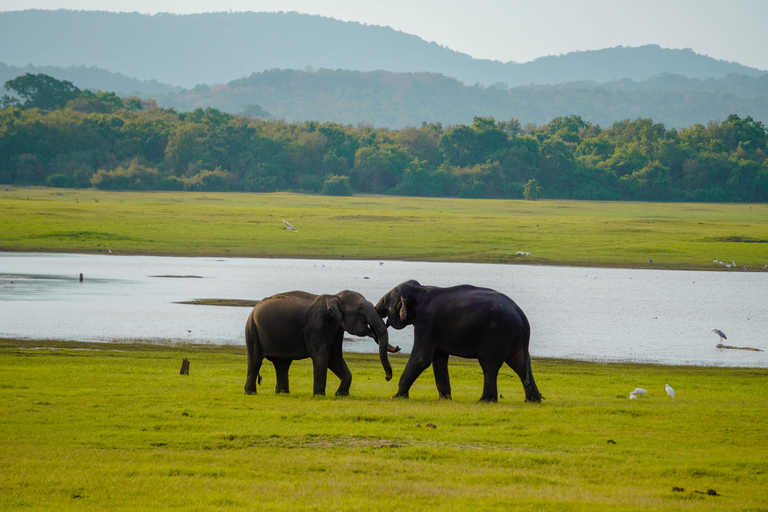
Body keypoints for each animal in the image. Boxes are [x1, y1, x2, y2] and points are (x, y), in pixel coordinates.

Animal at [244, 289, 400, 396]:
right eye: (360, 309)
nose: (387, 378)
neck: (335, 296)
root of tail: (254, 308)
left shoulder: (337, 331)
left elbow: (335, 358)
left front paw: (341, 395)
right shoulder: (316, 326)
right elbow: (322, 357)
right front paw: (319, 396)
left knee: (282, 364)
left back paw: (283, 393)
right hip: (252, 330)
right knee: (255, 361)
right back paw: (250, 393)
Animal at [375, 280, 542, 403]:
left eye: (386, 301)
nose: (387, 378)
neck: (420, 290)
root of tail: (521, 314)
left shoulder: (426, 323)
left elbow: (421, 359)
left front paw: (396, 397)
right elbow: (438, 360)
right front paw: (444, 400)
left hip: (497, 333)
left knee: (489, 365)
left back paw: (484, 401)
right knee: (519, 364)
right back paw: (533, 401)